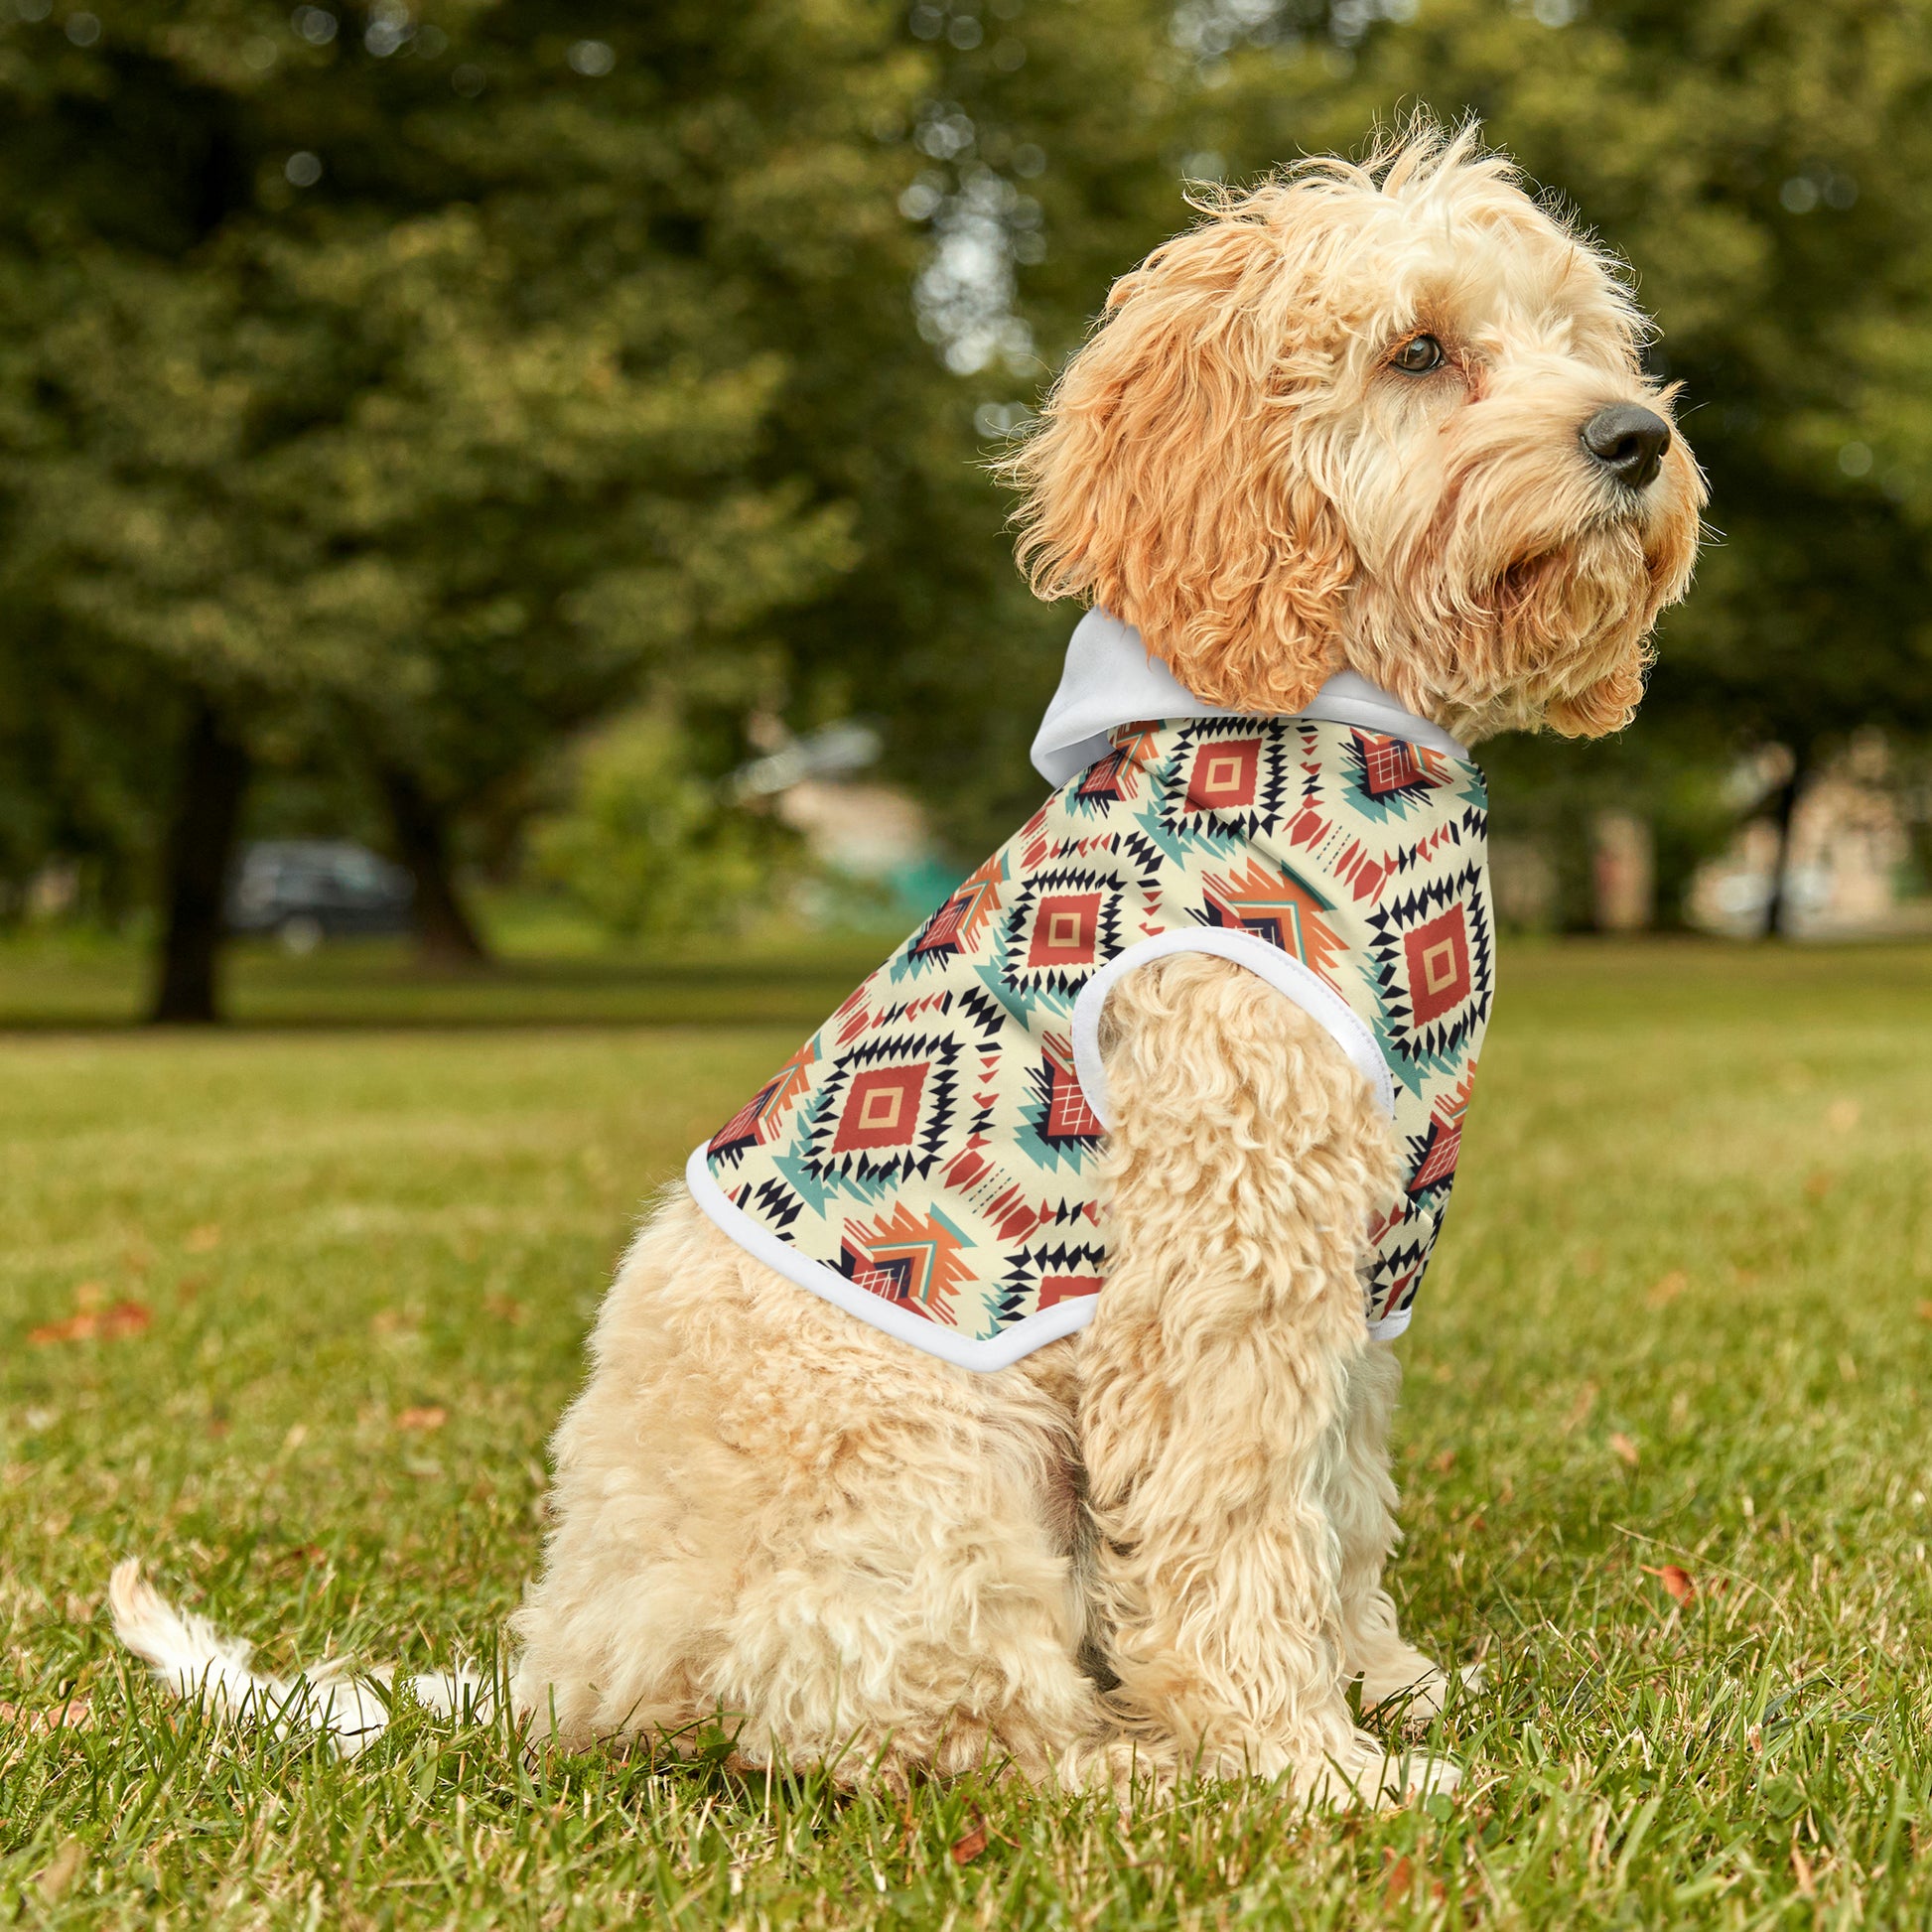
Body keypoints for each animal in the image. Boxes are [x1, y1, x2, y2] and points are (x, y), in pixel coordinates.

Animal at [112, 124, 1700, 1808]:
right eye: (1418, 351)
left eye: (1580, 339)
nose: (1634, 437)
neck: (1332, 717)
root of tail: (567, 1666)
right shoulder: (1221, 1256)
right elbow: (1235, 1522)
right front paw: (1307, 1764)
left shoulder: (1357, 1257)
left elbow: (1337, 1501)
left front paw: (1384, 1685)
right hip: (941, 1478)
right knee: (940, 1729)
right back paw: (1140, 1768)